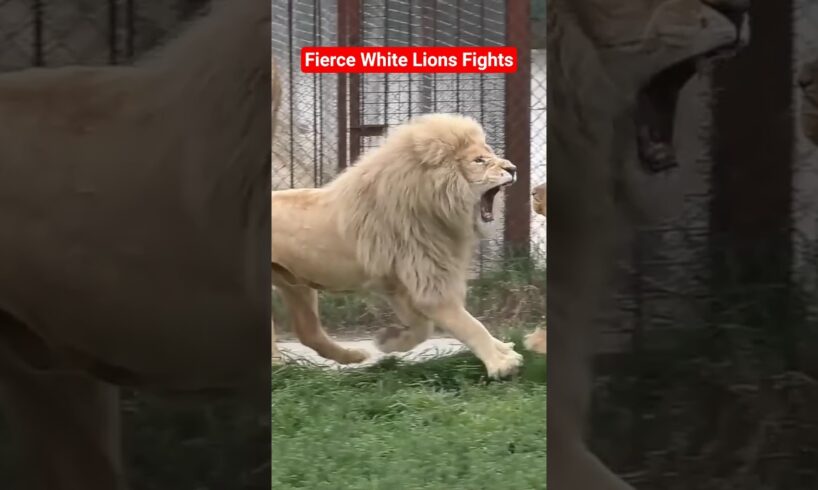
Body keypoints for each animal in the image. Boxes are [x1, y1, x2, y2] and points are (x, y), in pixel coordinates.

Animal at [271, 113, 524, 379]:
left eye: (490, 153)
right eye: (479, 160)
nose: (513, 169)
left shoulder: (398, 286)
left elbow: (424, 327)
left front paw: (388, 340)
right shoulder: (429, 284)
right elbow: (468, 324)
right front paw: (502, 364)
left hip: (295, 284)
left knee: (307, 331)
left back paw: (352, 356)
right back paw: (279, 367)